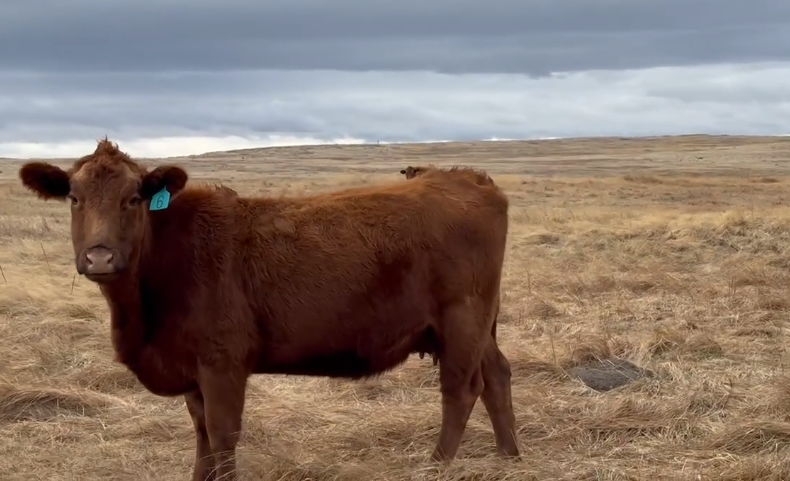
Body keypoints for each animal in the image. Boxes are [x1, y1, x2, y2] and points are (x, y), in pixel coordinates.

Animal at [19, 139, 519, 481]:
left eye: (133, 198)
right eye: (74, 198)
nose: (100, 257)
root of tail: (466, 178)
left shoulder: (222, 363)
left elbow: (222, 436)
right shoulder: (192, 370)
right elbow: (201, 437)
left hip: (462, 321)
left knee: (461, 389)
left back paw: (436, 466)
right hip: (481, 326)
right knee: (497, 375)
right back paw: (509, 457)